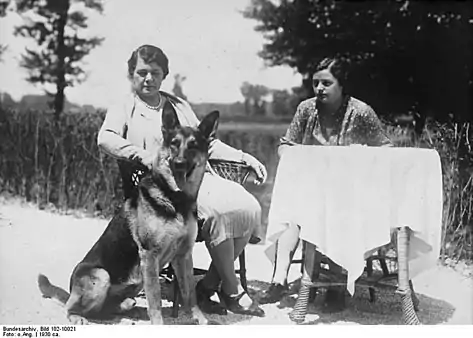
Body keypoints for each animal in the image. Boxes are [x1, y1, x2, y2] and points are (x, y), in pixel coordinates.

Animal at [38, 103, 219, 324]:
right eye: (174, 144)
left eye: (193, 145)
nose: (178, 163)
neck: (175, 199)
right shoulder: (150, 255)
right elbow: (155, 299)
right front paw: (158, 324)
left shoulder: (183, 255)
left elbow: (189, 294)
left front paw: (201, 320)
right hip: (101, 276)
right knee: (71, 308)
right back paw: (78, 316)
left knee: (109, 309)